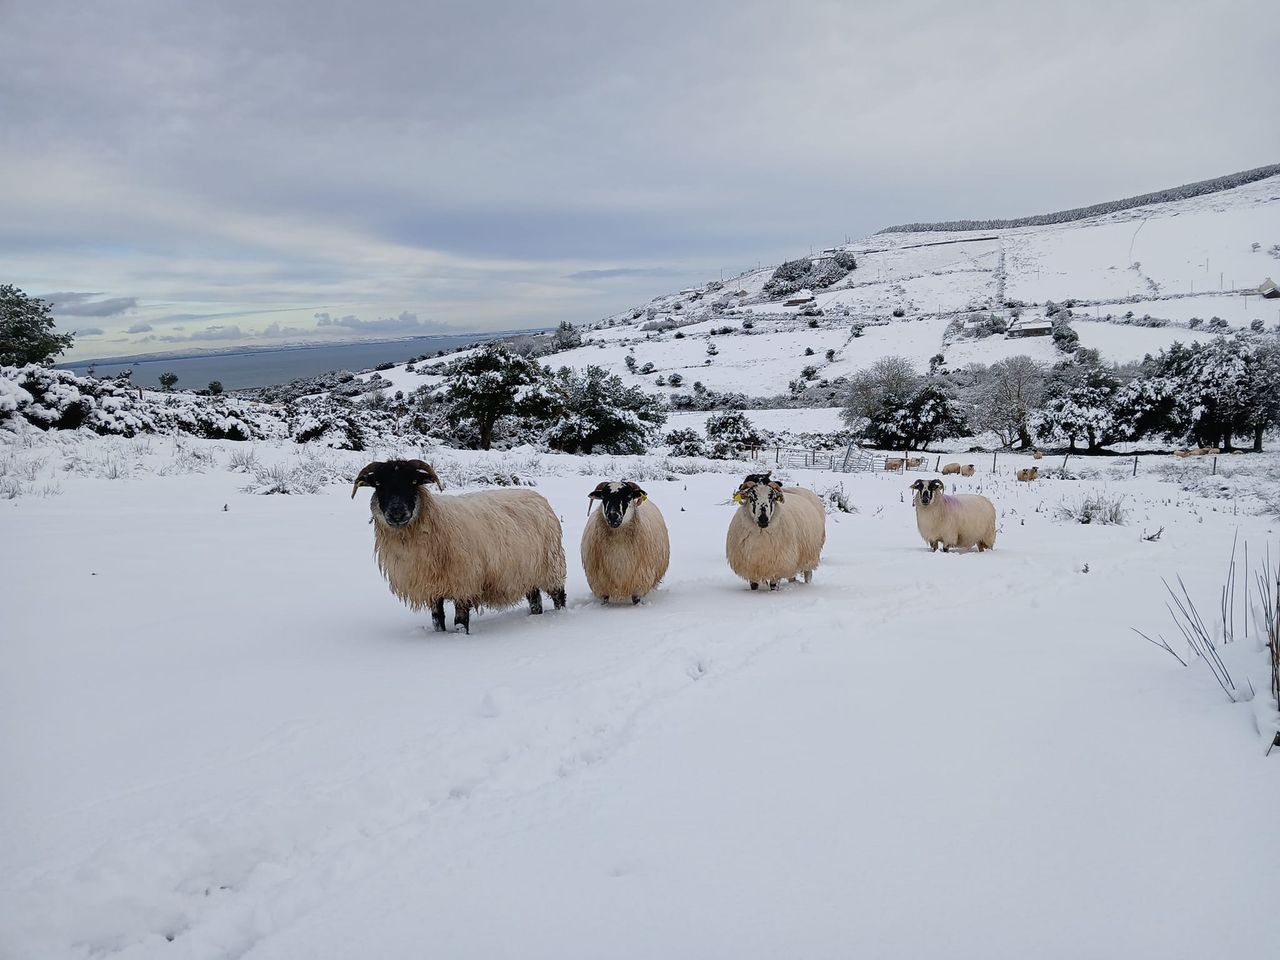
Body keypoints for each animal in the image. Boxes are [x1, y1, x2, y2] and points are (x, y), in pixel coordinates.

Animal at [352, 459, 566, 634]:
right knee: (535, 600)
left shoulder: (463, 583)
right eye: (379, 484)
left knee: (558, 596)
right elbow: (437, 619)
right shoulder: (432, 588)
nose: (397, 513)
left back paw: (561, 616)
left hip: (550, 565)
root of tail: (537, 497)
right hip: (527, 571)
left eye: (413, 482)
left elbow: (460, 621)